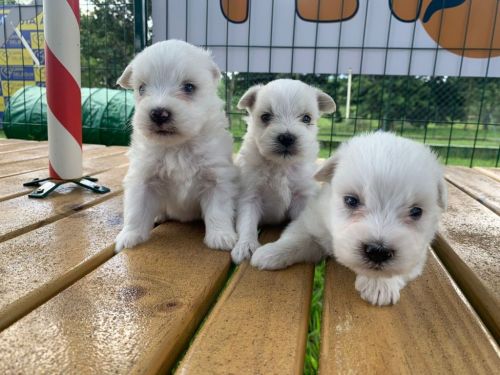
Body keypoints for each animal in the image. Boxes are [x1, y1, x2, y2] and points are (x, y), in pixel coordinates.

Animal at [114, 40, 237, 253]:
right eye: (141, 88)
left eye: (189, 87)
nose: (158, 114)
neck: (178, 146)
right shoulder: (143, 179)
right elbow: (136, 210)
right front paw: (129, 236)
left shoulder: (217, 179)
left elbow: (218, 210)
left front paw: (221, 237)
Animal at [231, 78, 336, 264]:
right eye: (265, 116)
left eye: (306, 118)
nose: (287, 137)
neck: (280, 165)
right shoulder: (250, 195)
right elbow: (247, 222)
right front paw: (246, 246)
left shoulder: (302, 196)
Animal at [252, 132, 448, 306]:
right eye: (351, 201)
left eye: (416, 211)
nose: (378, 251)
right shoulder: (311, 223)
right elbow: (295, 239)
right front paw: (270, 252)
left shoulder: (417, 254)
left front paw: (378, 284)